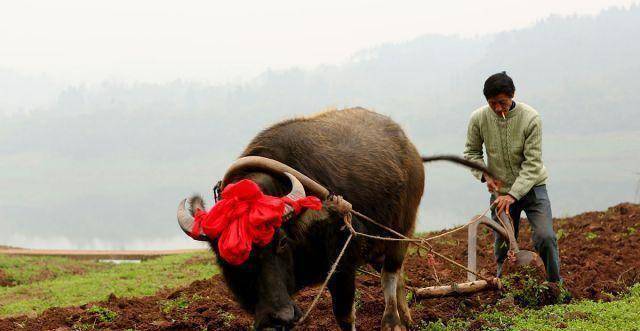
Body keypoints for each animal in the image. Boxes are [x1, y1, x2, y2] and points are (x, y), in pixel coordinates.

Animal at [178, 107, 492, 330]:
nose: (279, 317)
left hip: (400, 228)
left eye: (281, 242)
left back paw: (392, 322)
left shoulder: (344, 260)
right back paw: (407, 317)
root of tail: (411, 150)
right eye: (230, 255)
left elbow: (344, 315)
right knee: (398, 273)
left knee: (391, 273)